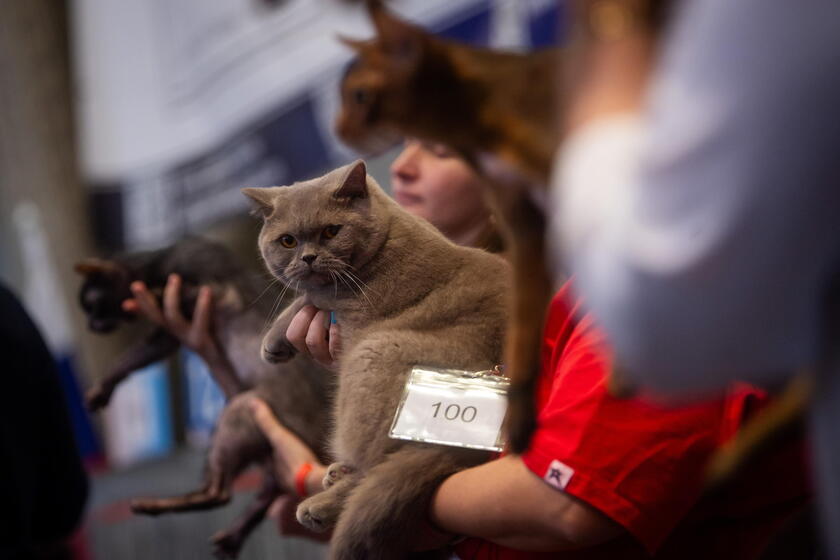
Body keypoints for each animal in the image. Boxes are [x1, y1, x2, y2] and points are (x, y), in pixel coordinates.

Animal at [240, 160, 508, 556]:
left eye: (331, 231)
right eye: (287, 240)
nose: (308, 257)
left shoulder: (345, 307)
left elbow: (307, 299)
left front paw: (273, 340)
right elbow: (304, 298)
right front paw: (274, 343)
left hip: (374, 356)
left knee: (377, 468)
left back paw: (320, 506)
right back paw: (337, 473)